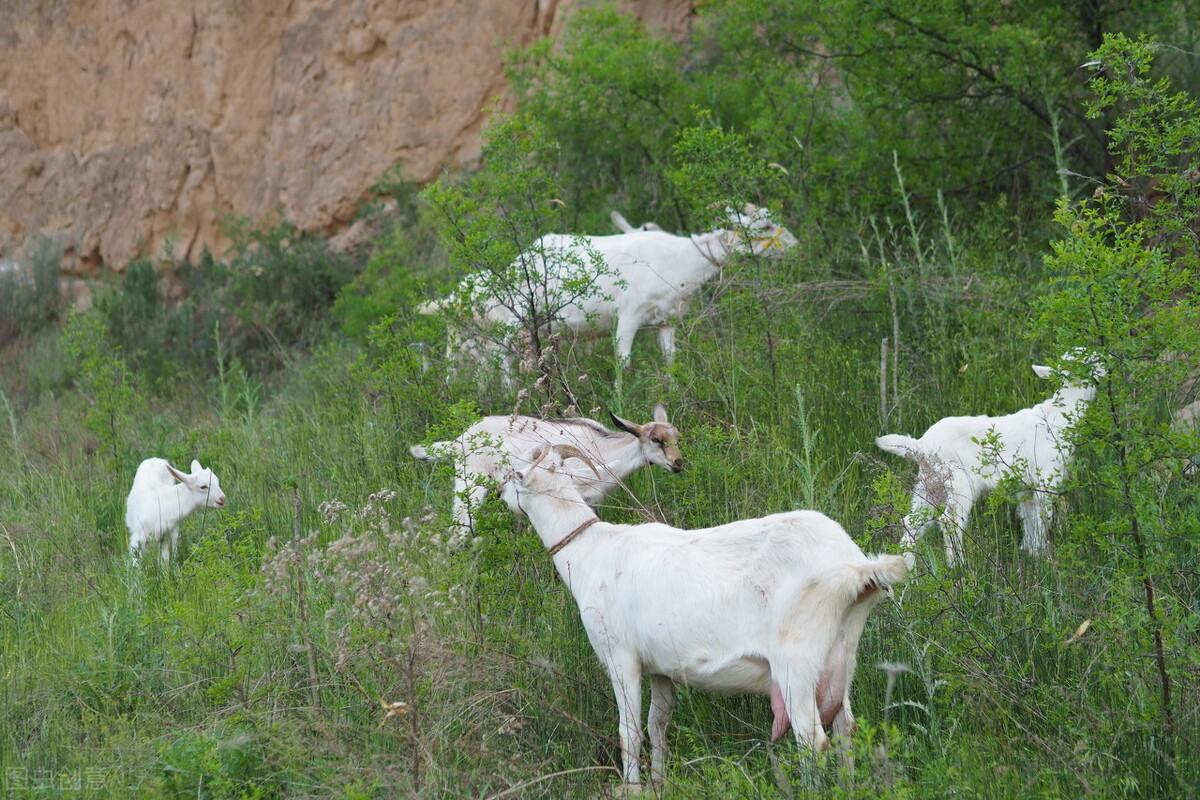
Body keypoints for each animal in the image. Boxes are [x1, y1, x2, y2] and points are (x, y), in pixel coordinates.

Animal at [412, 407, 681, 537]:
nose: (678, 463)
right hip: (470, 486)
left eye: (677, 437)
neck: (603, 448)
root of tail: (459, 440)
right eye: (656, 440)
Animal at [499, 443, 907, 786]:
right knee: (845, 730)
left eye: (515, 476)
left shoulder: (620, 657)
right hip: (840, 655)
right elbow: (657, 725)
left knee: (812, 739)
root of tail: (855, 566)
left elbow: (629, 732)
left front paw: (633, 788)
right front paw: (659, 784)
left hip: (797, 660)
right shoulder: (661, 668)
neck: (590, 551)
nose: (501, 493)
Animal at [873, 352, 1099, 566]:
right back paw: (959, 567)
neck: (1060, 414)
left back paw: (908, 569)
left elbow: (1029, 520)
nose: (1101, 357)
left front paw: (1030, 553)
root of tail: (921, 446)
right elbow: (1042, 518)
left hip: (929, 485)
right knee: (949, 521)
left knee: (912, 521)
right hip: (958, 483)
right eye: (1088, 360)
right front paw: (1044, 559)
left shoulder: (1026, 487)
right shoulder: (1045, 479)